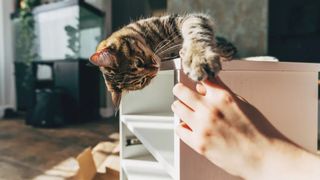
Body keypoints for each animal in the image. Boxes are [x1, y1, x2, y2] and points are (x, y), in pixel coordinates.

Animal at [89, 13, 236, 109]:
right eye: (143, 81)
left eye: (138, 62)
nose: (155, 69)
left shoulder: (183, 20)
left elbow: (195, 29)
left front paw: (198, 57)